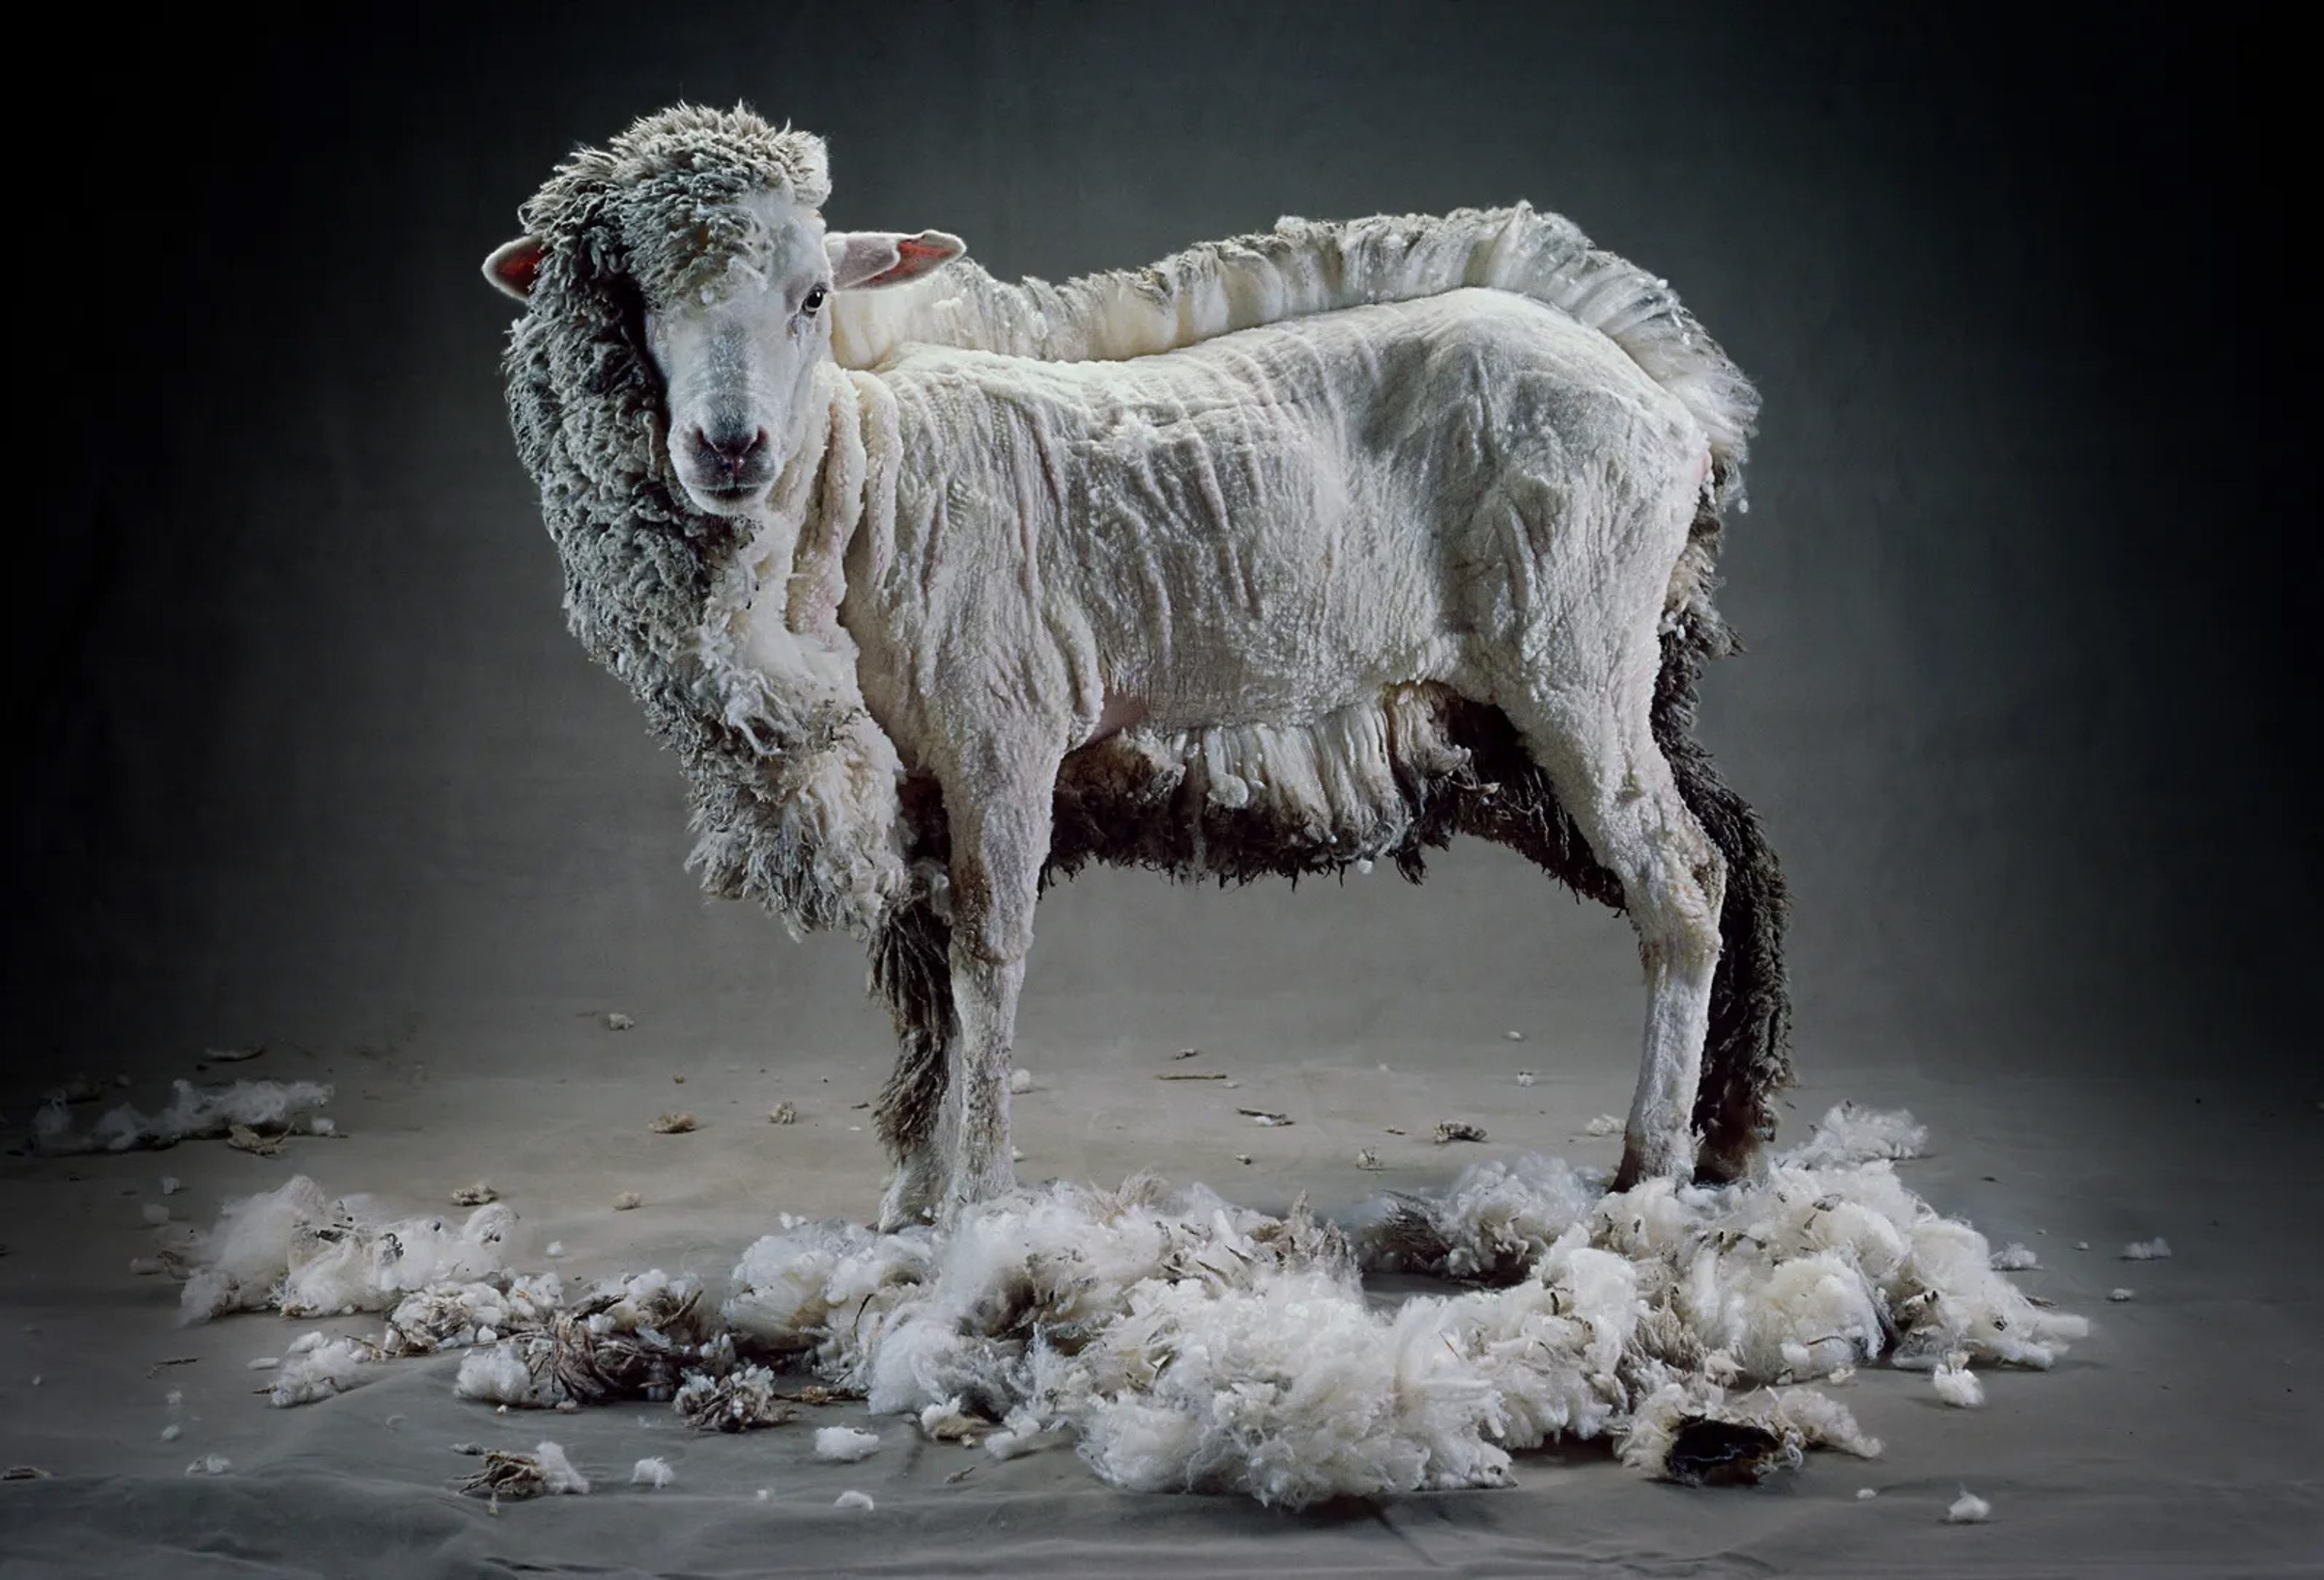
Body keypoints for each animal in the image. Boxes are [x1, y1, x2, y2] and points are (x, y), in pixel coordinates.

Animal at [483, 104, 1790, 1228]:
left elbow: (986, 955)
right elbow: (916, 973)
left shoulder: (1002, 734)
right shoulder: (906, 771)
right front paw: (910, 1193)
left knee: (1684, 877)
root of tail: (1677, 407)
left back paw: (1650, 1164)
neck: (863, 478)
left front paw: (984, 1197)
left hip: (1575, 650)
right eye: (636, 302)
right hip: (1580, 680)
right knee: (1722, 855)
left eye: (812, 297)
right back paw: (1721, 1140)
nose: (731, 447)